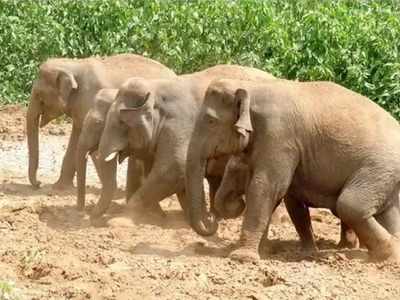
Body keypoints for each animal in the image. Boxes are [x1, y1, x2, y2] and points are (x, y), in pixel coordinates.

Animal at [27, 53, 176, 190]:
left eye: (39, 95)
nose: (39, 184)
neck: (73, 64)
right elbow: (76, 139)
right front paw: (59, 187)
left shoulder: (90, 98)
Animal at [93, 64, 276, 218]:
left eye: (121, 122)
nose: (91, 218)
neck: (156, 87)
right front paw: (159, 217)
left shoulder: (180, 125)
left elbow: (173, 168)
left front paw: (123, 218)